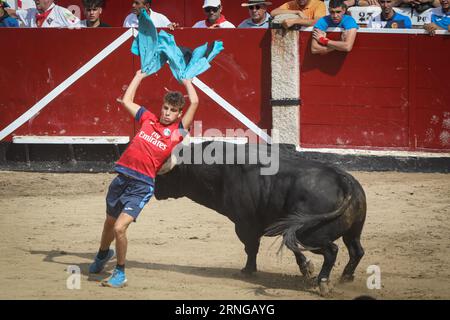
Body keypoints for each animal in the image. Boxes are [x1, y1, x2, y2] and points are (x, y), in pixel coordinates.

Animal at [155, 142, 366, 296]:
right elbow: (291, 246)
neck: (219, 169)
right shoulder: (282, 225)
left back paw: (323, 283)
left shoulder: (244, 224)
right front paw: (306, 268)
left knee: (332, 250)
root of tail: (343, 180)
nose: (154, 191)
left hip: (310, 234)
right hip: (353, 230)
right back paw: (345, 277)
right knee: (356, 250)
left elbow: (251, 247)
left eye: (162, 176)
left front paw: (248, 270)